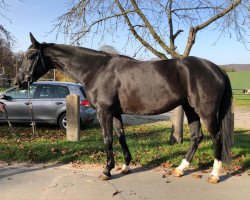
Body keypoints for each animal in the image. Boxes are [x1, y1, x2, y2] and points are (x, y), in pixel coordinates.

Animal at [14, 33, 233, 184]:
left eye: (31, 55)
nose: (18, 81)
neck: (97, 69)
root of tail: (217, 69)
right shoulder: (116, 112)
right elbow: (121, 137)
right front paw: (125, 166)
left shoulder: (104, 112)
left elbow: (108, 139)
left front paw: (106, 171)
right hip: (190, 109)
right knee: (197, 137)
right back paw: (180, 169)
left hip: (206, 112)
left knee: (216, 137)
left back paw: (214, 174)